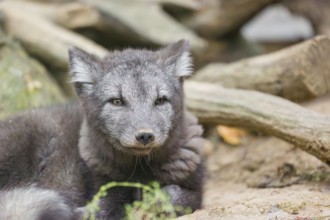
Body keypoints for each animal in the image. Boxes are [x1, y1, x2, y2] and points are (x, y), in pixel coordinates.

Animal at [0, 40, 205, 219]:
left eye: (160, 100)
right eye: (117, 101)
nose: (145, 136)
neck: (139, 170)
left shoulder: (196, 191)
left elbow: (174, 193)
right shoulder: (102, 185)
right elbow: (109, 202)